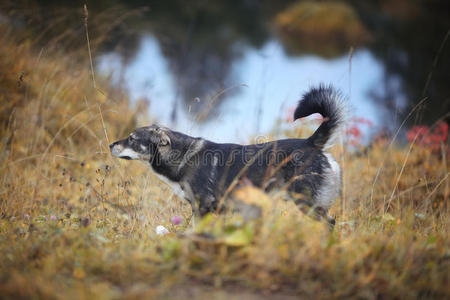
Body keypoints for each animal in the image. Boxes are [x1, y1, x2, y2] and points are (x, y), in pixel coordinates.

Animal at [110, 84, 348, 223]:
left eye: (132, 138)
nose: (111, 145)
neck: (184, 157)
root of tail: (311, 143)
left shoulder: (203, 208)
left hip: (308, 203)